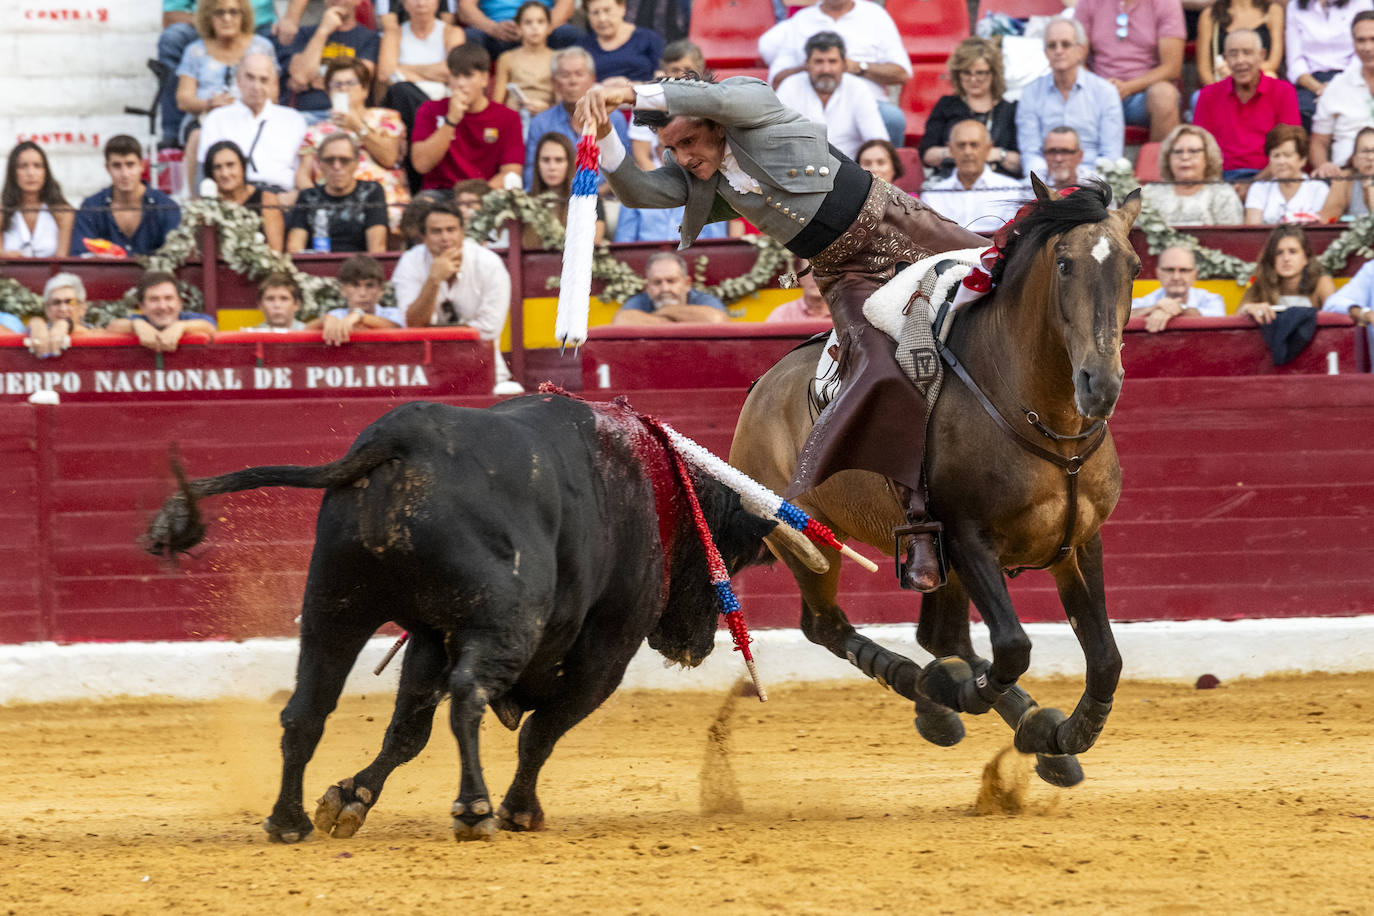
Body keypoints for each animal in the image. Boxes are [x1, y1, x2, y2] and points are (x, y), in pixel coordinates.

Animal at [147, 398, 785, 840]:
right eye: (725, 560)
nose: (699, 647)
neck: (659, 494)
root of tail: (402, 438)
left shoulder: (431, 636)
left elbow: (408, 731)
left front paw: (349, 798)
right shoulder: (607, 653)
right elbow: (540, 732)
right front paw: (520, 811)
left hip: (335, 604)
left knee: (308, 708)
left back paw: (289, 820)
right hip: (504, 624)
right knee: (469, 696)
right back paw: (473, 809)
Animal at [736, 181, 1143, 791]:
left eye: (1134, 267)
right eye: (1064, 264)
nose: (1100, 384)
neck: (1039, 411)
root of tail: (762, 387)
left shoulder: (1077, 542)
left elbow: (1105, 658)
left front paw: (1061, 737)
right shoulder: (966, 538)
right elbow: (1013, 646)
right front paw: (966, 696)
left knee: (938, 637)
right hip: (807, 540)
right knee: (826, 625)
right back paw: (931, 694)